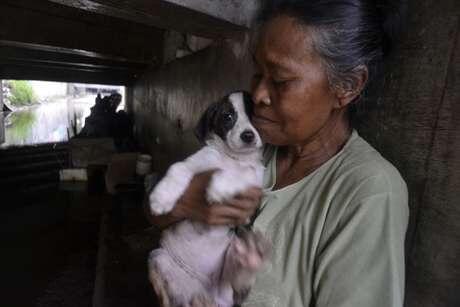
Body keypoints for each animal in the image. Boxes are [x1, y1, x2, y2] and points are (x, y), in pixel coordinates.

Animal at [148, 91, 270, 307]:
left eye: (255, 114)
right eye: (227, 117)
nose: (247, 136)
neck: (233, 158)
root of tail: (212, 292)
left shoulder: (255, 183)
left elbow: (243, 173)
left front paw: (219, 186)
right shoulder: (198, 161)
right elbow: (178, 168)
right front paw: (161, 197)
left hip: (230, 264)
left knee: (237, 280)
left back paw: (249, 258)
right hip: (158, 257)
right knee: (180, 298)